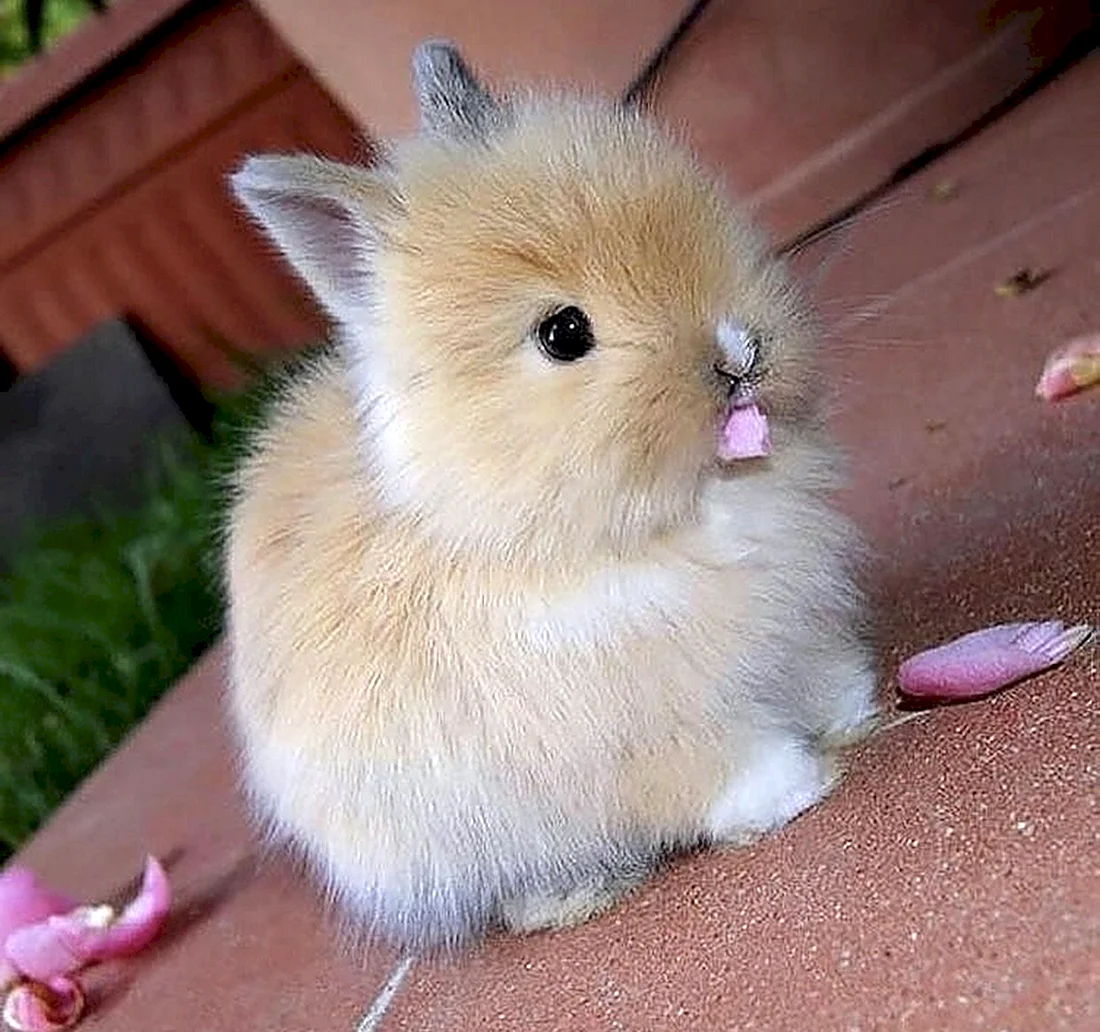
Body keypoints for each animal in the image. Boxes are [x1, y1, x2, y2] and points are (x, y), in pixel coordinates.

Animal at [224, 41, 879, 953]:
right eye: (564, 334)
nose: (739, 353)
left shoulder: (796, 631)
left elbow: (815, 672)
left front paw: (856, 707)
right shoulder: (635, 728)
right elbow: (710, 767)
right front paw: (796, 785)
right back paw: (576, 895)